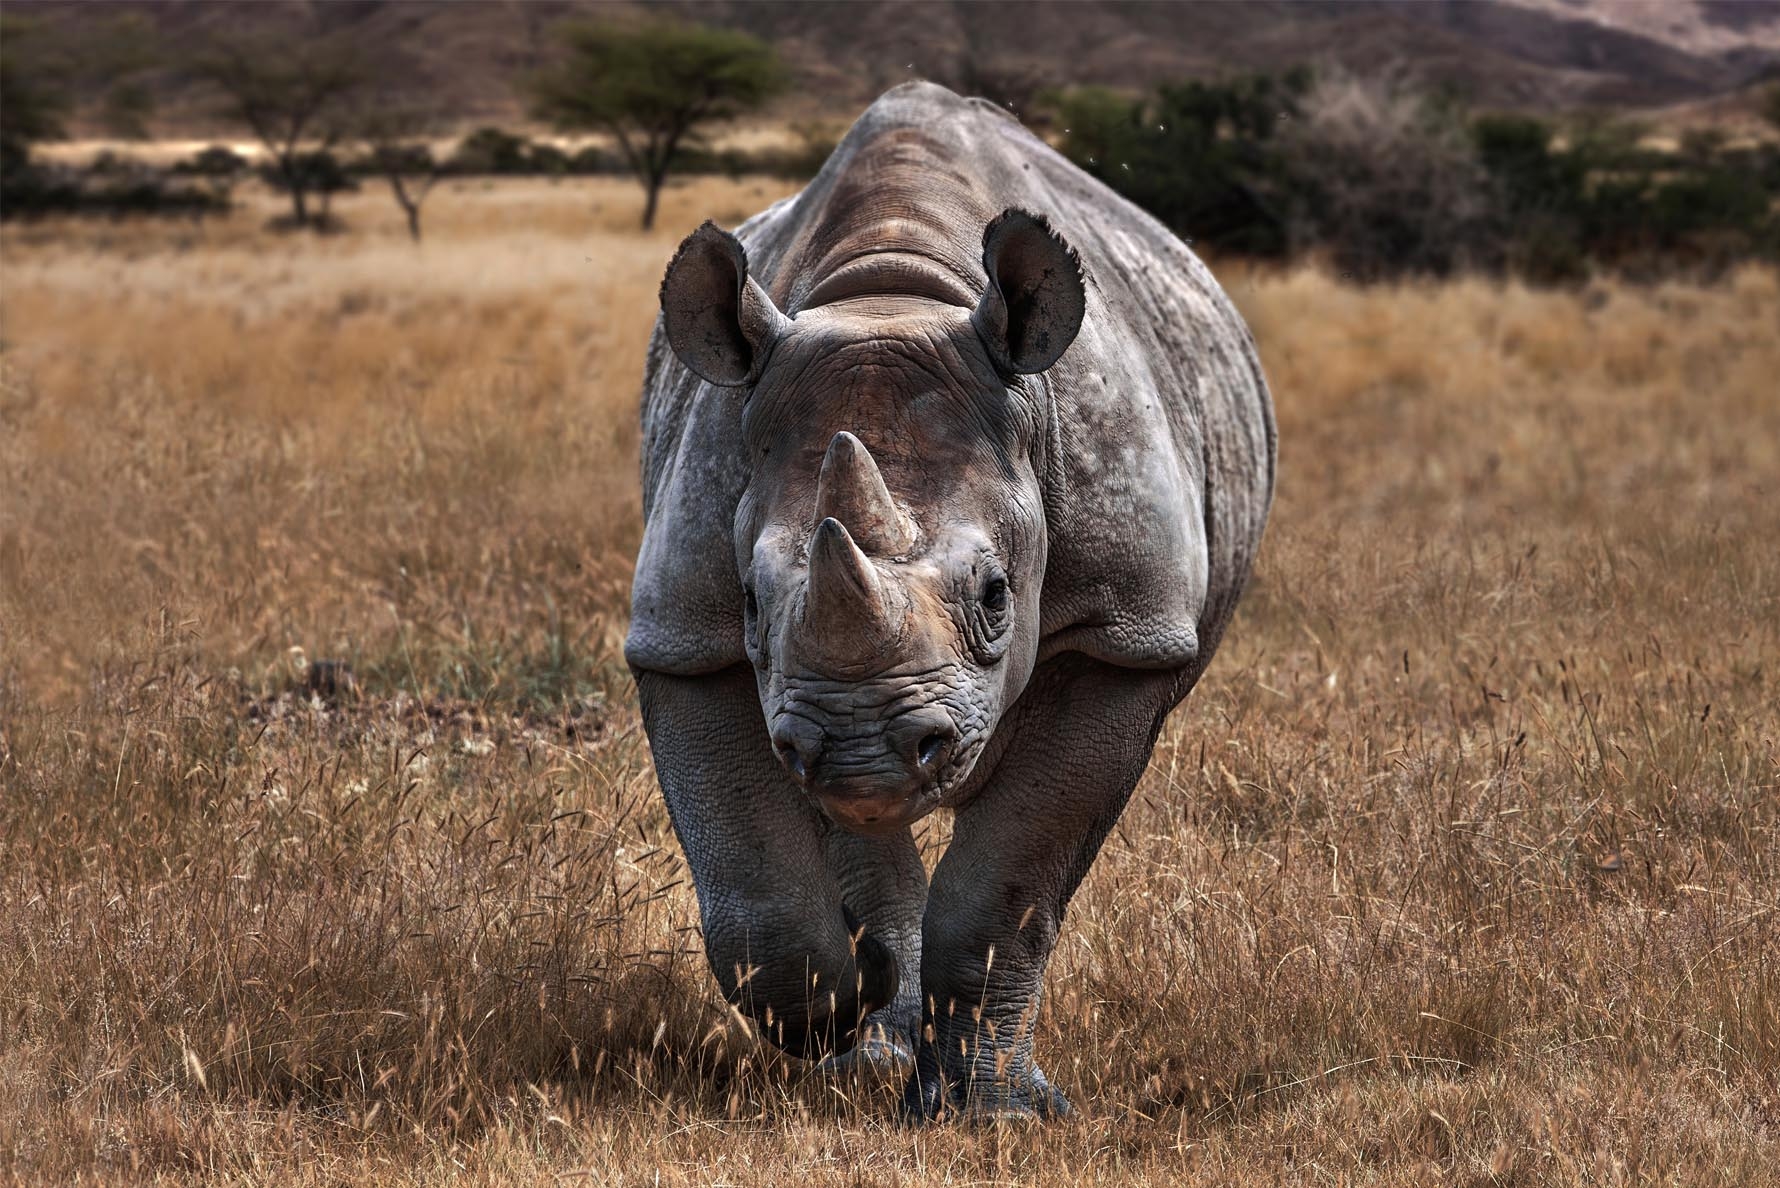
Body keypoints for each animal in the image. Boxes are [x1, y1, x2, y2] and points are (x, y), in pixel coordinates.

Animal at [630, 83, 1281, 1125]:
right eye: (750, 602)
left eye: (995, 595)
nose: (862, 750)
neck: (888, 295)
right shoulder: (685, 632)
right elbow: (759, 899)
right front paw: (853, 1004)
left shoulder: (1125, 632)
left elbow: (1006, 886)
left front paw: (994, 1116)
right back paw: (875, 1046)